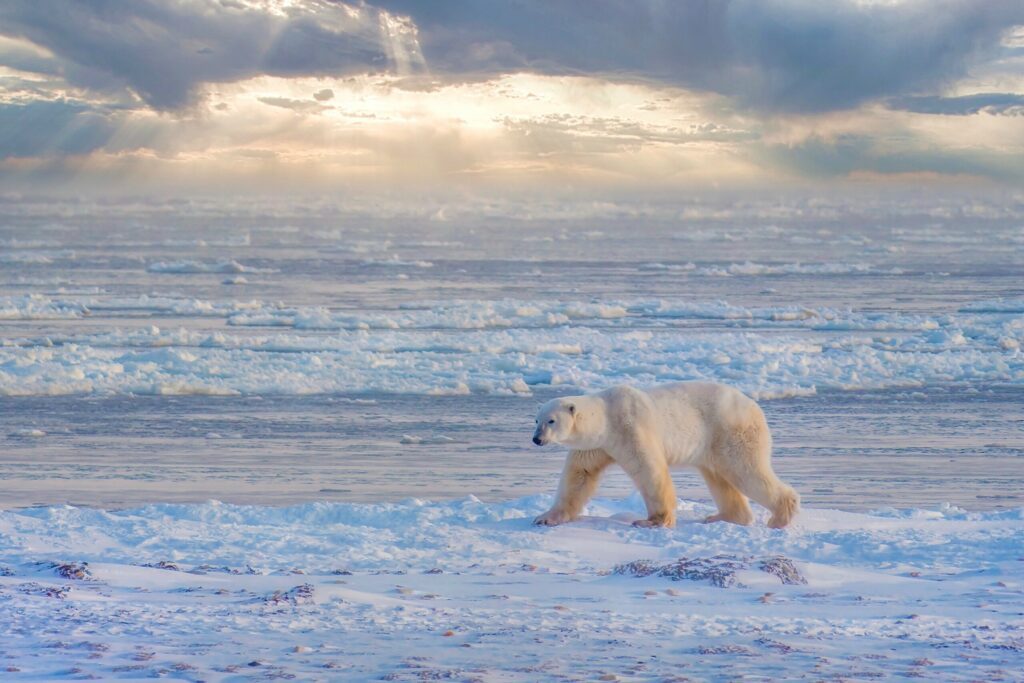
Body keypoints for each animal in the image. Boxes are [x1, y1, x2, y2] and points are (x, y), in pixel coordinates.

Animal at [532, 382, 802, 532]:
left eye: (551, 421)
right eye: (536, 419)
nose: (536, 439)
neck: (607, 416)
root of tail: (754, 405)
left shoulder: (631, 428)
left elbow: (649, 470)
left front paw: (653, 521)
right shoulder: (596, 445)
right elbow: (579, 476)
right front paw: (545, 517)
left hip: (731, 431)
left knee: (746, 470)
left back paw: (779, 517)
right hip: (713, 444)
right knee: (719, 477)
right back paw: (723, 516)